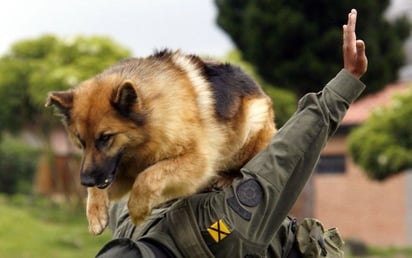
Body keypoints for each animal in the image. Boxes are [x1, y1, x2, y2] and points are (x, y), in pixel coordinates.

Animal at [45, 49, 276, 235]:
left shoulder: (197, 159)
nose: (85, 180)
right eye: (80, 141)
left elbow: (148, 176)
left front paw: (137, 210)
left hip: (252, 123)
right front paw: (96, 214)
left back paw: (226, 178)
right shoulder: (119, 172)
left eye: (106, 138)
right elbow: (107, 186)